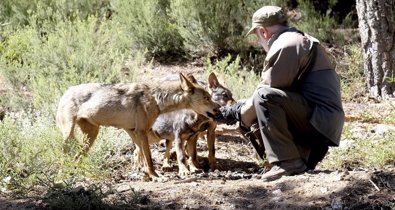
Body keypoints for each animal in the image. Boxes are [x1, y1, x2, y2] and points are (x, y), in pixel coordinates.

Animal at [55, 73, 220, 179]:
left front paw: (147, 175)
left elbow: (142, 156)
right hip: (69, 137)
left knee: (77, 158)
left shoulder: (134, 132)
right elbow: (149, 158)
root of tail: (66, 91)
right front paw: (155, 176)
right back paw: (60, 177)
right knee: (63, 156)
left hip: (91, 137)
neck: (156, 99)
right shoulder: (141, 132)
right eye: (207, 98)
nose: (218, 109)